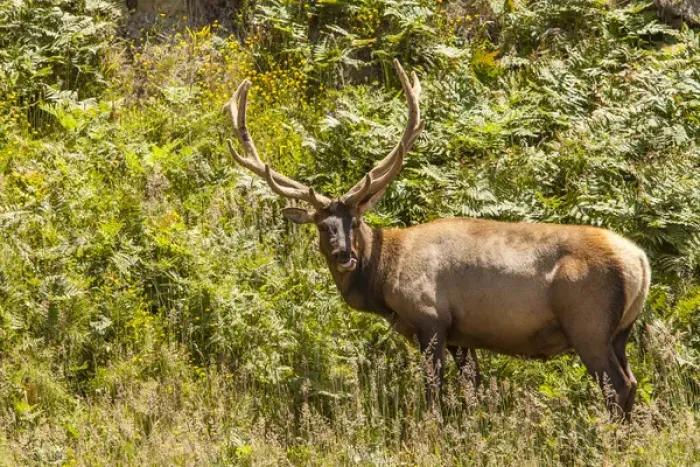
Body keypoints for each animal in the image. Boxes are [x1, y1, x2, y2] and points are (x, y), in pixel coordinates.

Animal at [223, 60, 651, 420]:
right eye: (321, 224)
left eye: (355, 219)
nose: (344, 255)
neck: (385, 277)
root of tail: (641, 262)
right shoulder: (463, 333)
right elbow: (473, 389)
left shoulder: (430, 318)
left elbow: (433, 392)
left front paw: (435, 427)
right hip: (620, 331)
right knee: (630, 383)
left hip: (589, 323)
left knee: (617, 386)